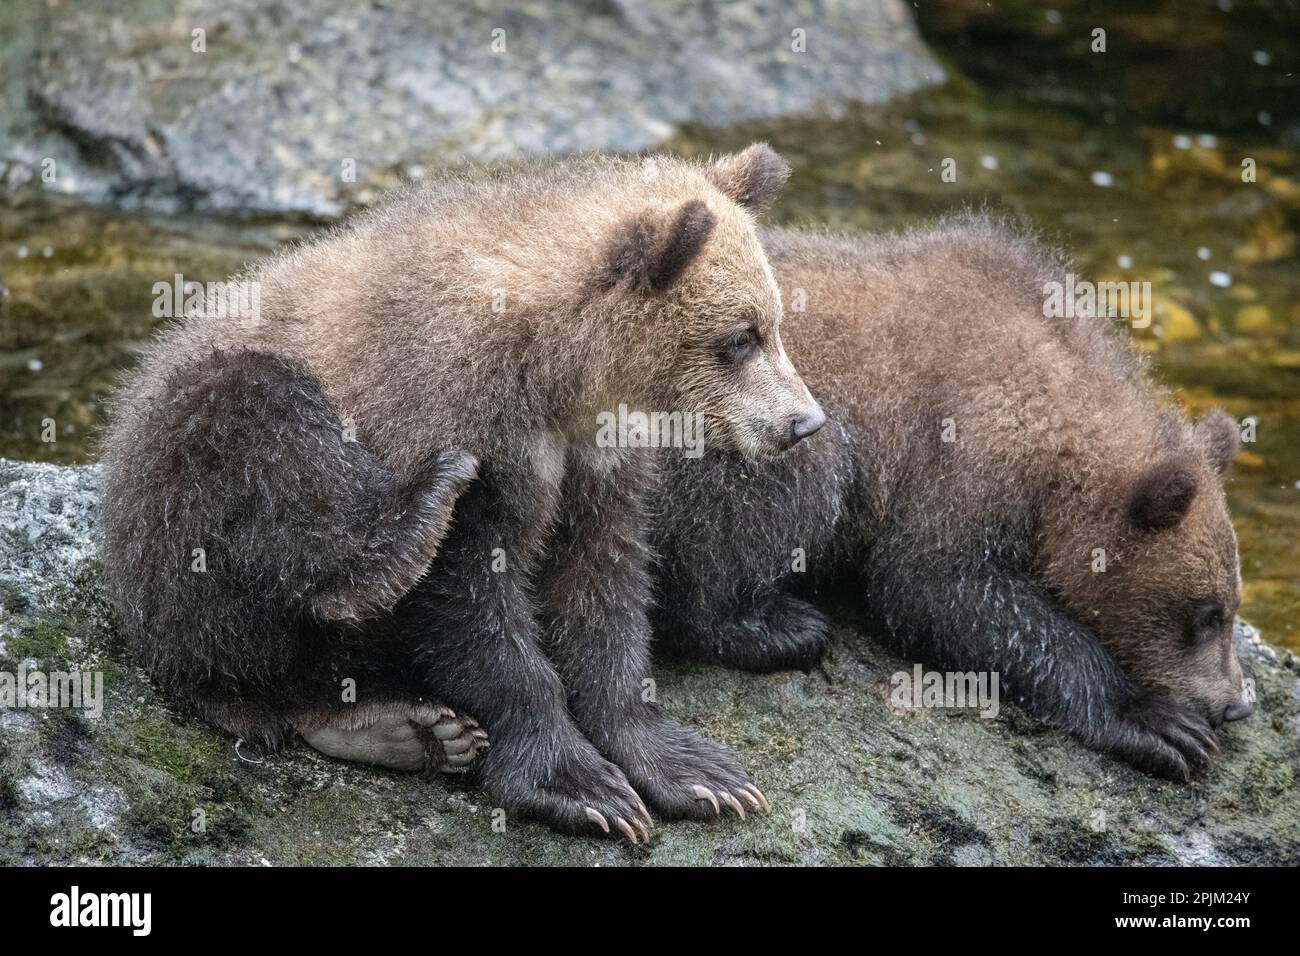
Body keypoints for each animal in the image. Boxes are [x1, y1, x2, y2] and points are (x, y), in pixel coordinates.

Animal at [99, 144, 824, 840]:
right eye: (740, 338)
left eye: (774, 323)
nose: (804, 423)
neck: (558, 372)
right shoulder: (458, 415)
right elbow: (472, 602)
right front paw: (580, 786)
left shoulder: (596, 462)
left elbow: (603, 587)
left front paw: (699, 774)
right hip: (179, 514)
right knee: (259, 440)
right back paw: (404, 540)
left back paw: (406, 729)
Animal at [649, 214, 1253, 782]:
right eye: (1204, 615)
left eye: (1228, 607)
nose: (1235, 705)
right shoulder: (963, 454)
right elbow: (939, 586)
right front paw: (1157, 720)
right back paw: (777, 625)